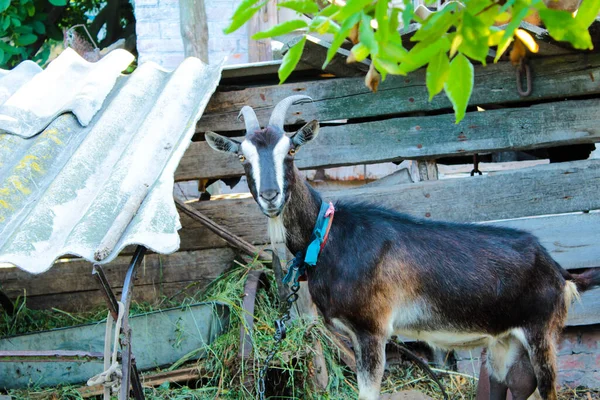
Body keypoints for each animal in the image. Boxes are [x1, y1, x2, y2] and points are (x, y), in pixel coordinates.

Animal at [206, 94, 600, 400]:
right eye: (241, 157)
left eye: (291, 151)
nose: (271, 195)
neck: (328, 235)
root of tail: (560, 273)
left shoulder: (373, 329)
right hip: (505, 343)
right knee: (514, 386)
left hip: (541, 333)